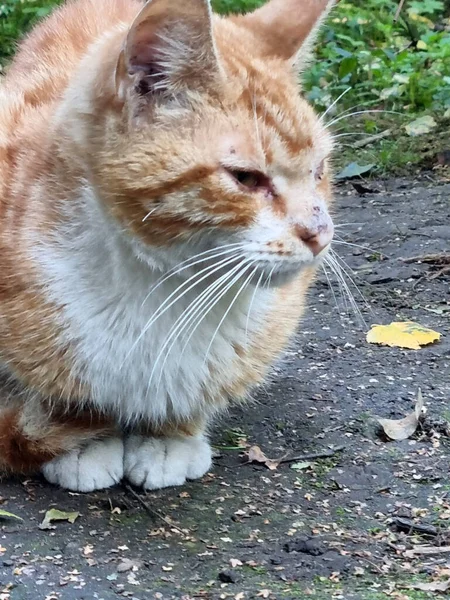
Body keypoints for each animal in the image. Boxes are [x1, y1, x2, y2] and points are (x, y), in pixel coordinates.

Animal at [0, 0, 336, 492]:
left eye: (318, 170)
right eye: (246, 178)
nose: (319, 233)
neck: (163, 288)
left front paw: (170, 437)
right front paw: (82, 442)